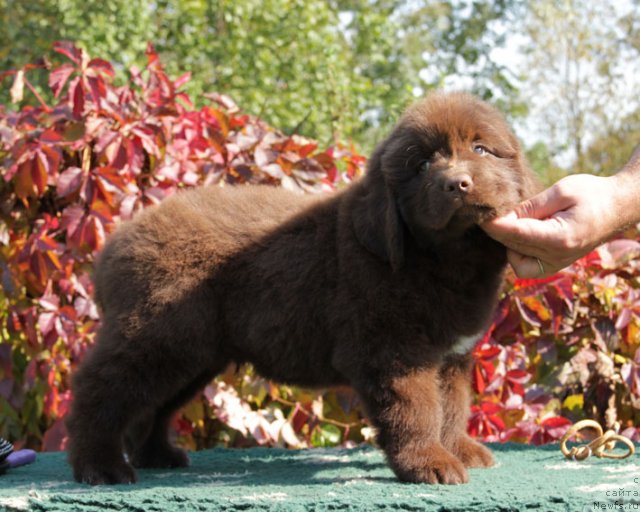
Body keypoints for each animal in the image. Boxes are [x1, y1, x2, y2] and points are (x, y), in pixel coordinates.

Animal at [66, 91, 540, 484]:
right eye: (421, 165)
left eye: (480, 148)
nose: (457, 183)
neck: (443, 261)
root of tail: (113, 245)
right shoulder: (392, 350)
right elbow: (416, 409)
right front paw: (431, 463)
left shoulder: (453, 357)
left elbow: (452, 407)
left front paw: (459, 449)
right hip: (157, 336)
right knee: (98, 389)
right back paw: (100, 466)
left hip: (193, 354)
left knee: (153, 406)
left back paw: (158, 455)